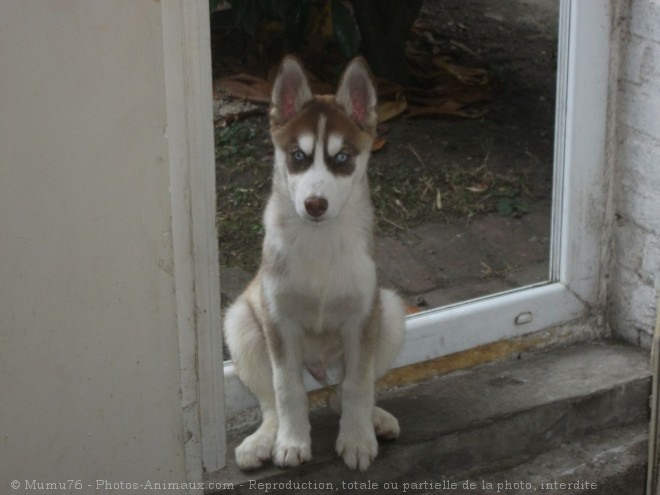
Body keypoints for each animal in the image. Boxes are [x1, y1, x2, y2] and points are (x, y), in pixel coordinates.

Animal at [224, 56, 404, 470]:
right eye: (298, 157)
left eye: (342, 158)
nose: (315, 205)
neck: (320, 245)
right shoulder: (279, 322)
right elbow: (287, 389)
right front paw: (292, 442)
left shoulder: (362, 319)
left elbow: (357, 385)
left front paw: (356, 440)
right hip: (241, 326)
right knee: (270, 403)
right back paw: (263, 439)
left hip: (390, 312)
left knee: (342, 392)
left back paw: (374, 420)